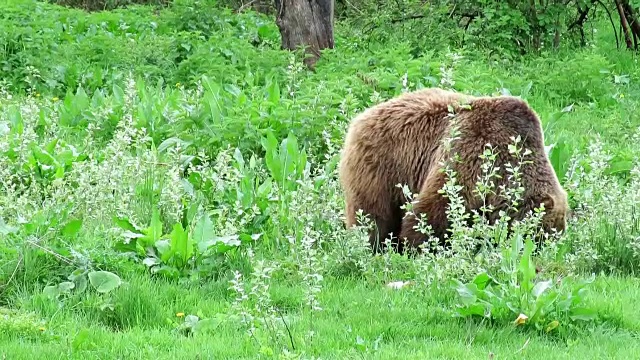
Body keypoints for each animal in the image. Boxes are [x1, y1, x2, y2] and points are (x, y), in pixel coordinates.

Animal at [338, 87, 568, 253]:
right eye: (539, 235)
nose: (540, 252)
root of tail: (363, 115)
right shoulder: (471, 155)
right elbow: (434, 210)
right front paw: (419, 246)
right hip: (380, 166)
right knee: (372, 214)